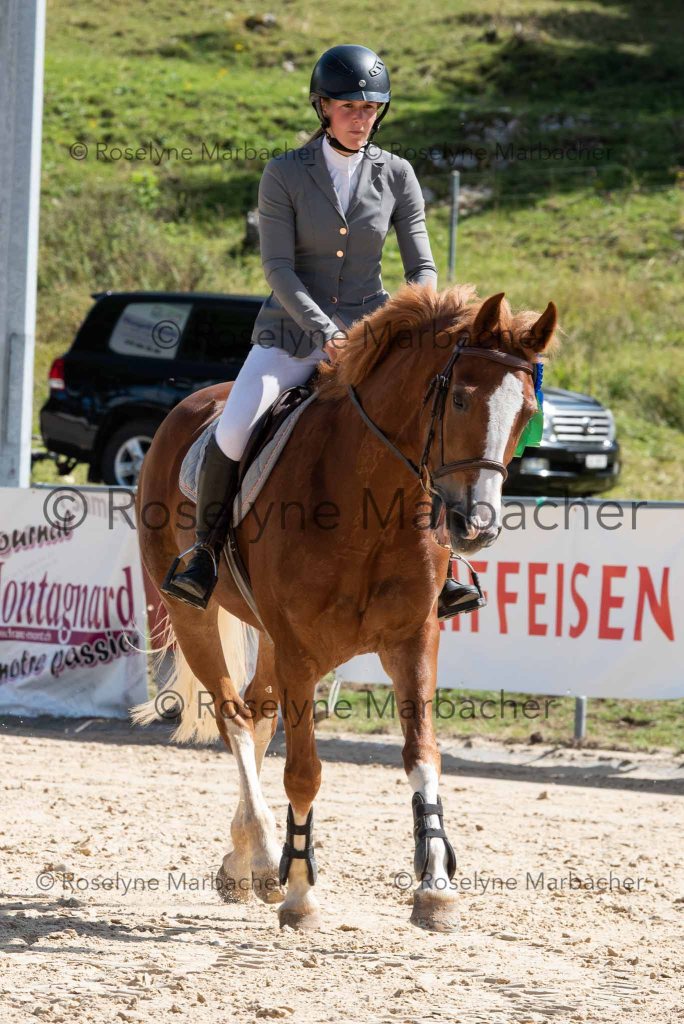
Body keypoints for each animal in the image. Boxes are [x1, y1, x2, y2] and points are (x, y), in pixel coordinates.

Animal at [132, 282, 559, 932]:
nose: (476, 528)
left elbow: (423, 754)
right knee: (235, 718)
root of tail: (190, 405)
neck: (370, 502)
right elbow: (304, 772)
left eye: (525, 413)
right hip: (194, 616)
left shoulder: (413, 640)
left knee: (257, 714)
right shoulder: (301, 651)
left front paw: (435, 886)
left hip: (271, 639)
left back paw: (244, 862)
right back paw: (263, 851)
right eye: (460, 398)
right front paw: (300, 892)